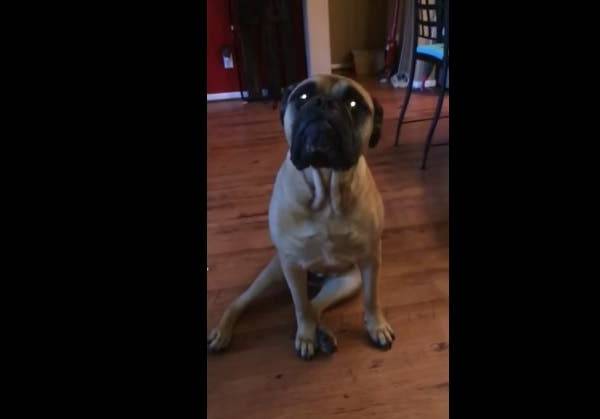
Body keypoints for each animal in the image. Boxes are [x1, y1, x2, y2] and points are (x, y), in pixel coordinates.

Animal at [208, 74, 394, 360]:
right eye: (303, 96)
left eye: (354, 104)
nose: (324, 103)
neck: (326, 187)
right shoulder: (292, 265)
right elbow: (299, 307)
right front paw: (305, 335)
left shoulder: (370, 258)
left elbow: (371, 298)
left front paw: (377, 326)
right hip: (274, 271)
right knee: (244, 302)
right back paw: (223, 331)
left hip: (347, 281)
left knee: (316, 305)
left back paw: (323, 334)